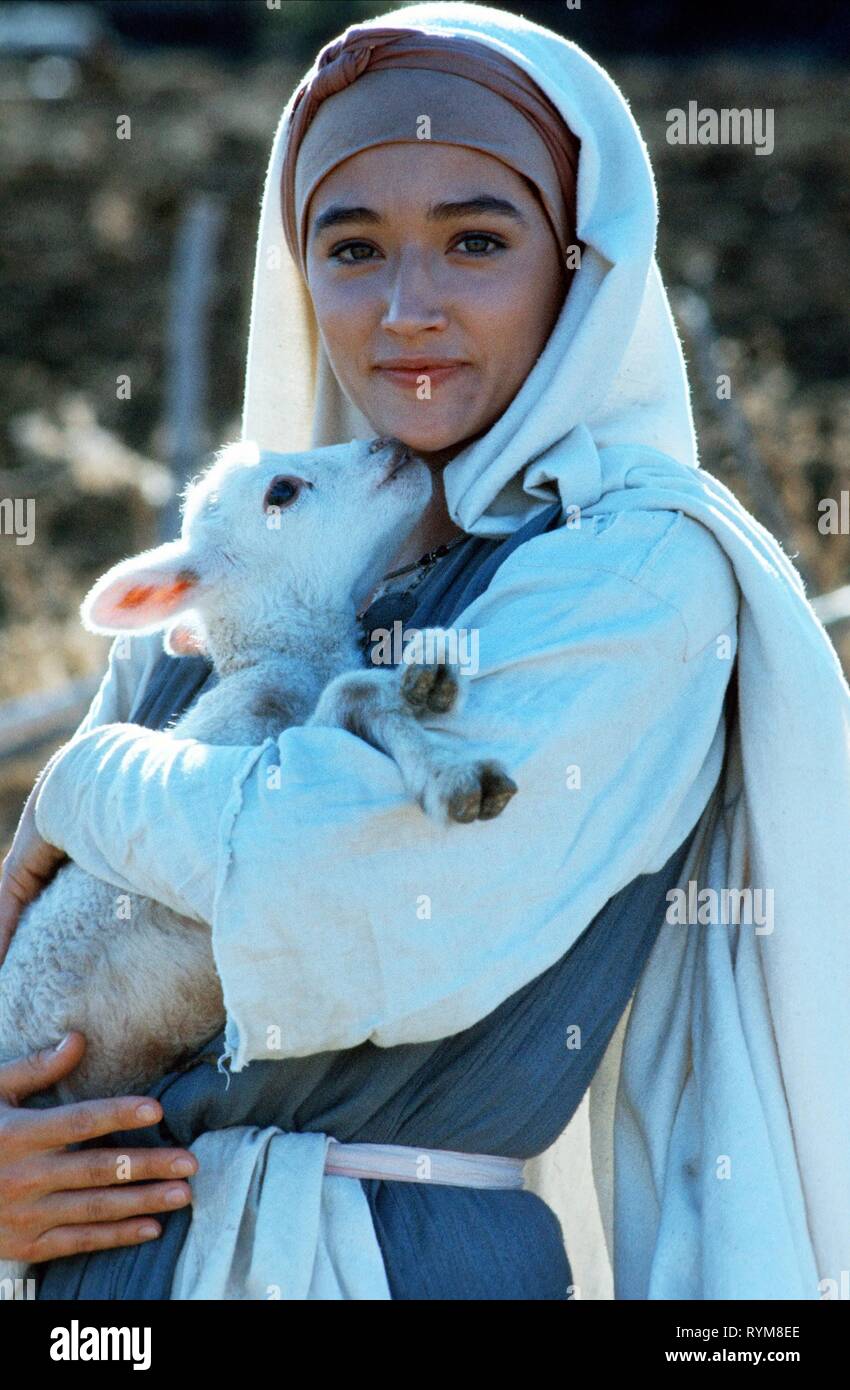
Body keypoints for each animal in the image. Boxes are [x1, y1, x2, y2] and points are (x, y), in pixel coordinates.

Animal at [0, 436, 516, 1117]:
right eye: (282, 491)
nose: (390, 446)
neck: (281, 660)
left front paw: (429, 674)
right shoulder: (241, 765)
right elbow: (354, 695)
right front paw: (448, 770)